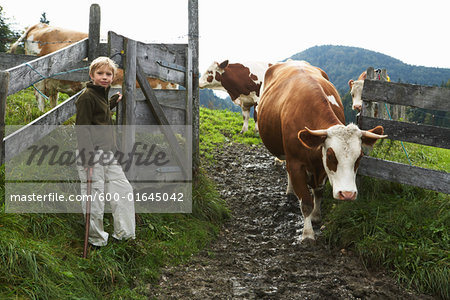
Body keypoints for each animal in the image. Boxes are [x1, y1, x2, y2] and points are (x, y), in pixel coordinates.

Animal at [8, 22, 178, 111]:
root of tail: (39, 25)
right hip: (39, 79)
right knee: (39, 97)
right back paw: (41, 113)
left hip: (53, 82)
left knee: (52, 97)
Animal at [256, 61, 386, 241]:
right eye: (331, 155)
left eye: (359, 157)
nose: (348, 194)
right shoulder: (296, 163)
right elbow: (305, 202)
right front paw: (307, 234)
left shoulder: (321, 167)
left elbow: (318, 192)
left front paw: (316, 216)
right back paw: (290, 191)